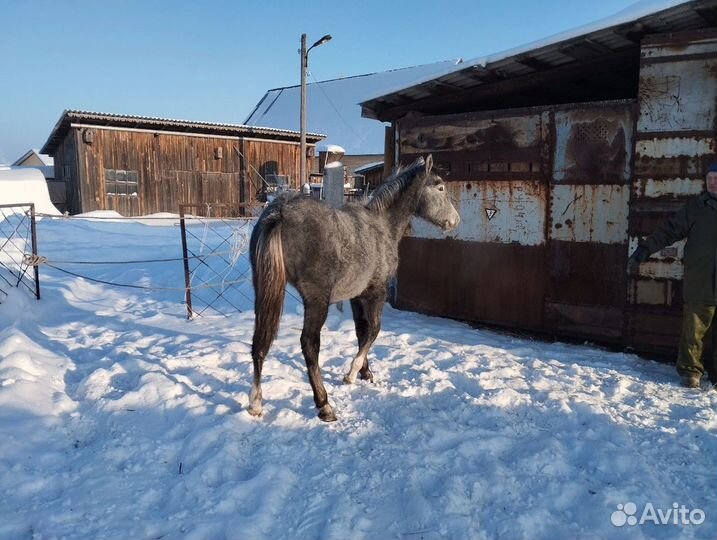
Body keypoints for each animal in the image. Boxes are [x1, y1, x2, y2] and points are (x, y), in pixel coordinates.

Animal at [248, 155, 460, 422]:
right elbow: (374, 330)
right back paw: (324, 404)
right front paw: (351, 373)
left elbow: (361, 331)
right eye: (440, 187)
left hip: (264, 290)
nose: (455, 220)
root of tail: (280, 211)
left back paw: (255, 403)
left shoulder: (357, 296)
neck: (382, 225)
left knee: (259, 342)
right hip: (316, 301)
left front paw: (366, 373)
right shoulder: (376, 292)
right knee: (309, 344)